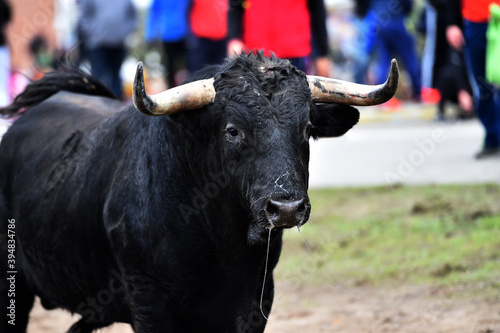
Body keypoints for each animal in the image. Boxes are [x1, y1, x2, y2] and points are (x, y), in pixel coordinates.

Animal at [0, 53, 398, 330]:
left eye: (307, 128)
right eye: (232, 130)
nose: (286, 207)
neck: (217, 241)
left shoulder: (253, 302)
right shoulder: (150, 306)